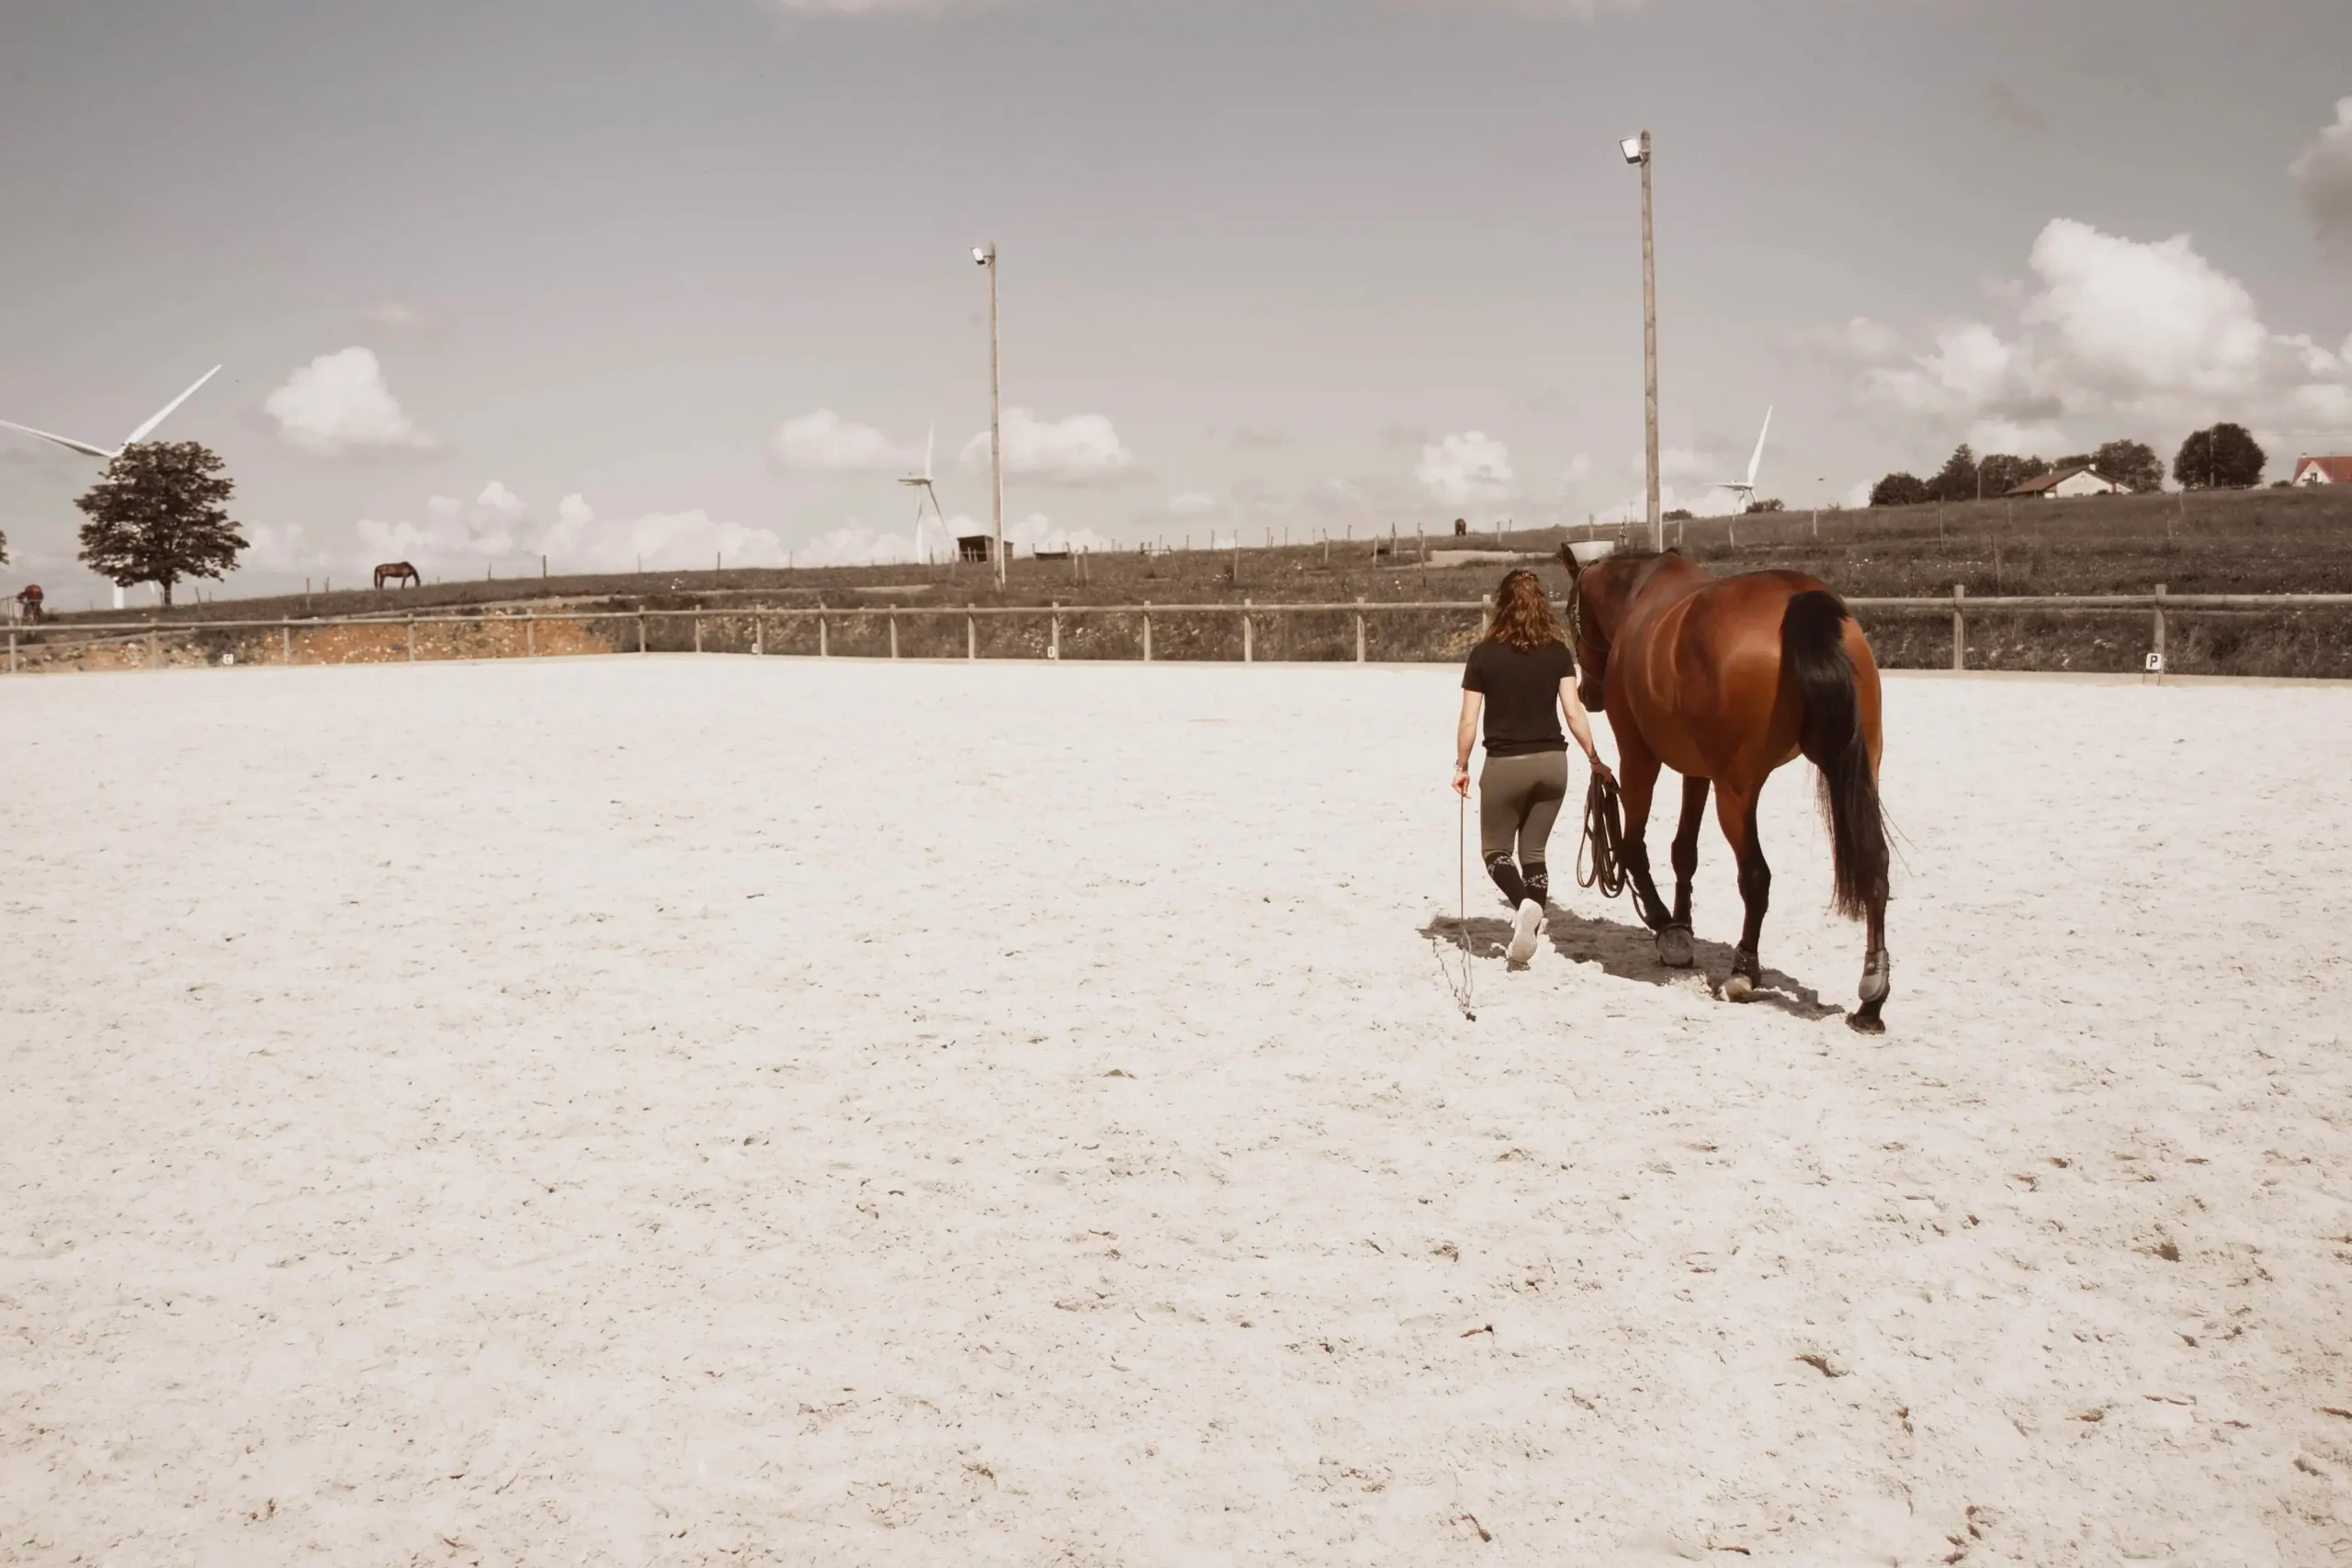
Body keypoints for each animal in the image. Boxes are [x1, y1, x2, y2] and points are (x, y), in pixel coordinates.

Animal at [1561, 545, 1893, 1032]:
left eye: (1571, 615)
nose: (1587, 693)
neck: (1639, 594)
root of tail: (1799, 599)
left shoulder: (1640, 758)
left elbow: (1632, 844)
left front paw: (1665, 926)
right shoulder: (1698, 771)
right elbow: (1684, 852)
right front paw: (1681, 927)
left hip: (1735, 791)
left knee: (1756, 876)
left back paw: (1743, 972)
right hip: (1857, 771)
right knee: (1875, 864)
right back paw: (1871, 996)